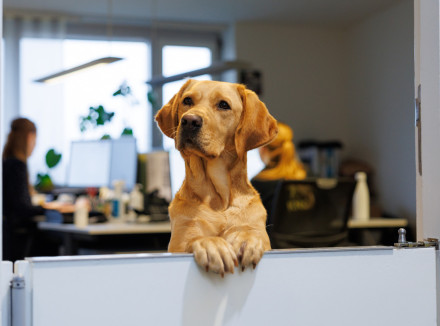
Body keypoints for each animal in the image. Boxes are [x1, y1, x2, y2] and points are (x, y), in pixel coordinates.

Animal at [156, 79, 276, 276]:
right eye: (187, 100)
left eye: (223, 105)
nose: (189, 120)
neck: (219, 198)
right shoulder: (181, 238)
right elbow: (195, 238)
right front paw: (213, 244)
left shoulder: (259, 232)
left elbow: (251, 233)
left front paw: (247, 240)